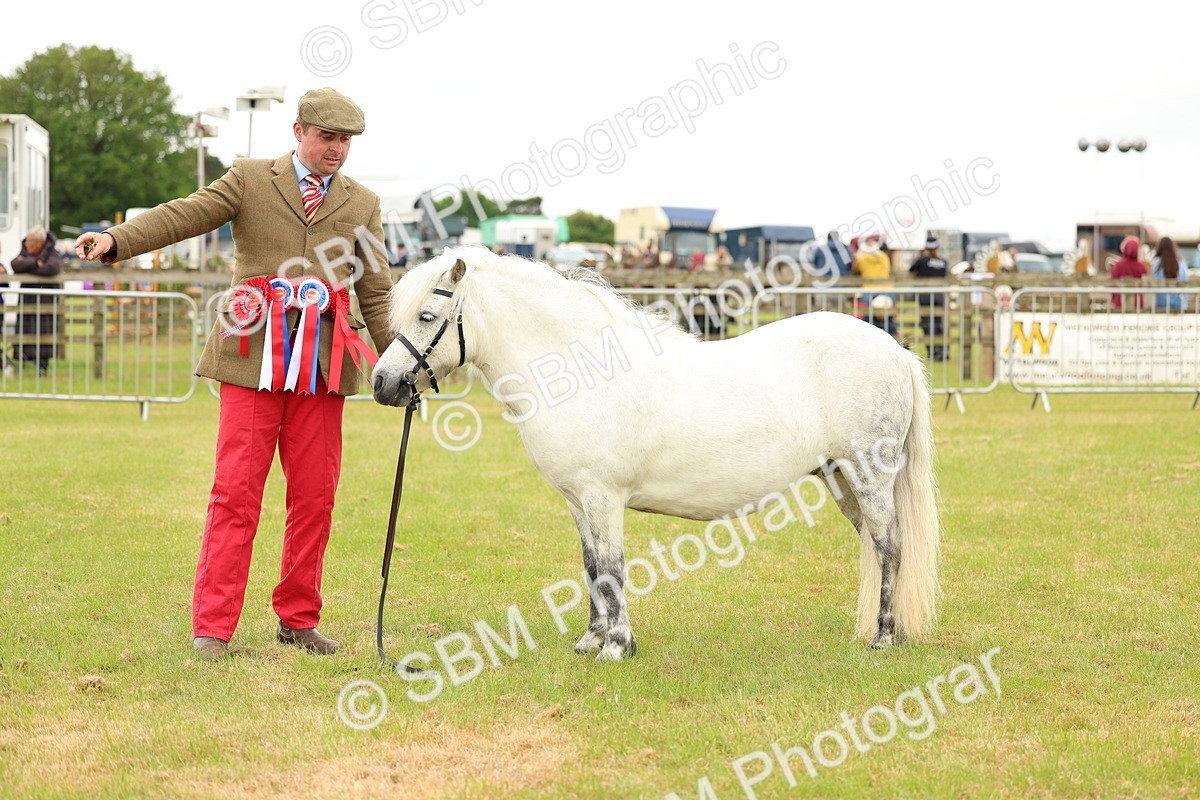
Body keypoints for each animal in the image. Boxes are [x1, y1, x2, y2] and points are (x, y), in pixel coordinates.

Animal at [372, 246, 939, 662]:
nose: (382, 383)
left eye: (427, 315)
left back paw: (884, 638)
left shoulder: (603, 498)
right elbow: (591, 566)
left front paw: (617, 647)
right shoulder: (578, 501)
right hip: (841, 480)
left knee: (889, 546)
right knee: (873, 545)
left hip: (869, 477)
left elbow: (612, 567)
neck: (580, 371)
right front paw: (591, 640)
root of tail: (893, 349)